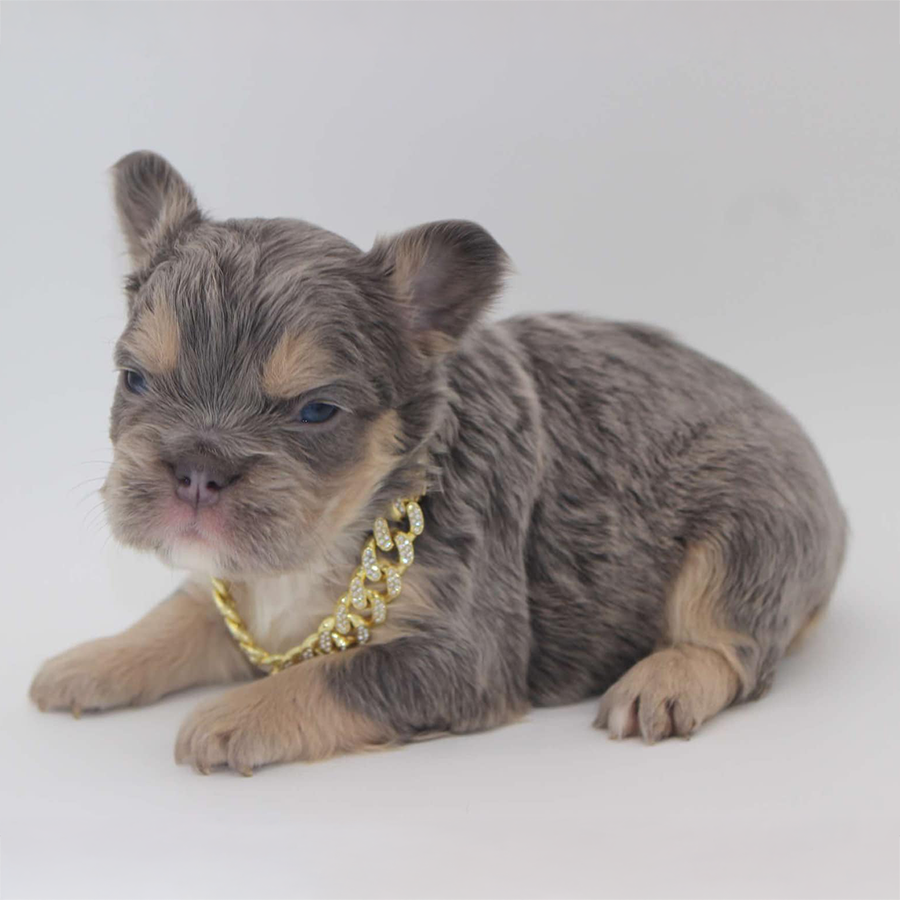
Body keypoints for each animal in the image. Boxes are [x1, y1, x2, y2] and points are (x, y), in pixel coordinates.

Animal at [28, 153, 844, 772]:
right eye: (135, 380)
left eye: (315, 411)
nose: (195, 470)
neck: (329, 539)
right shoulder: (236, 598)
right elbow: (176, 618)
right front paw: (94, 659)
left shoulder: (456, 658)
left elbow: (337, 675)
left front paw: (236, 713)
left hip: (749, 531)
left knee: (729, 645)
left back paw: (664, 679)